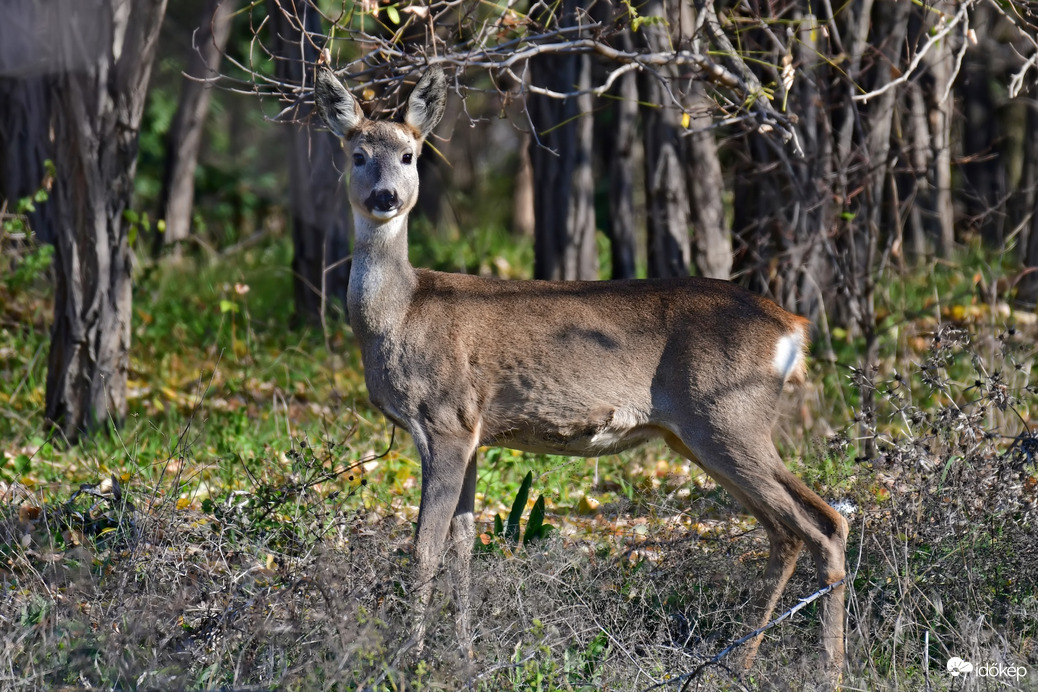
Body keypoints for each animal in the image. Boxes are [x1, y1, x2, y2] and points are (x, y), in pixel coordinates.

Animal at [315, 60, 851, 688]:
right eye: (357, 154)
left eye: (408, 154)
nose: (385, 197)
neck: (399, 315)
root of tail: (793, 327)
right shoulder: (472, 432)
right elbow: (463, 544)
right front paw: (464, 654)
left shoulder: (444, 420)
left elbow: (423, 547)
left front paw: (409, 661)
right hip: (704, 431)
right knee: (796, 527)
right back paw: (740, 664)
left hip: (728, 415)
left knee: (819, 524)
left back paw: (827, 670)